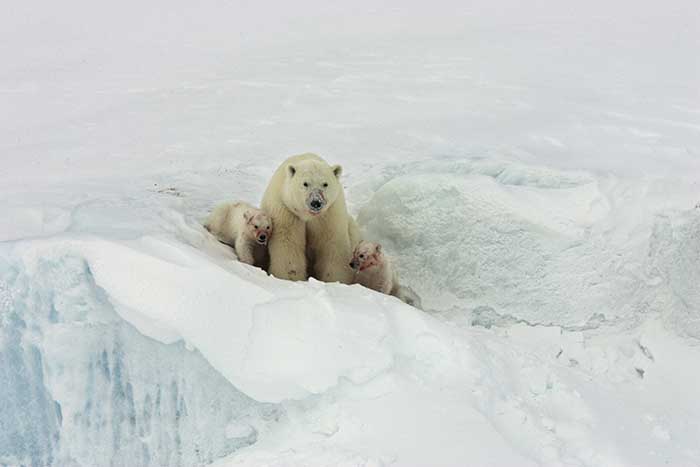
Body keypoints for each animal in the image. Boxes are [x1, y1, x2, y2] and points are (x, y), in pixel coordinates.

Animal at [262, 154, 360, 286]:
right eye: (305, 183)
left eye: (325, 184)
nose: (316, 202)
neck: (308, 216)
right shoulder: (286, 210)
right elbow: (288, 244)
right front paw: (290, 278)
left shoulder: (329, 215)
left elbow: (332, 246)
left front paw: (335, 280)